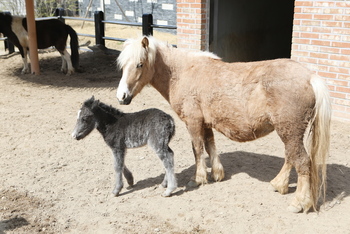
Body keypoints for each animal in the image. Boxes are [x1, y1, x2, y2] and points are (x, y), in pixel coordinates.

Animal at [115, 35, 330, 213]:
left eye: (140, 64)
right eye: (123, 66)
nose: (121, 96)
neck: (183, 72)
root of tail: (310, 77)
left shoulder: (193, 121)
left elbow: (197, 149)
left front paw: (198, 178)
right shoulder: (206, 123)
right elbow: (210, 146)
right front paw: (217, 174)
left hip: (290, 131)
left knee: (302, 161)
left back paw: (299, 202)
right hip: (288, 131)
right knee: (291, 157)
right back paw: (278, 184)